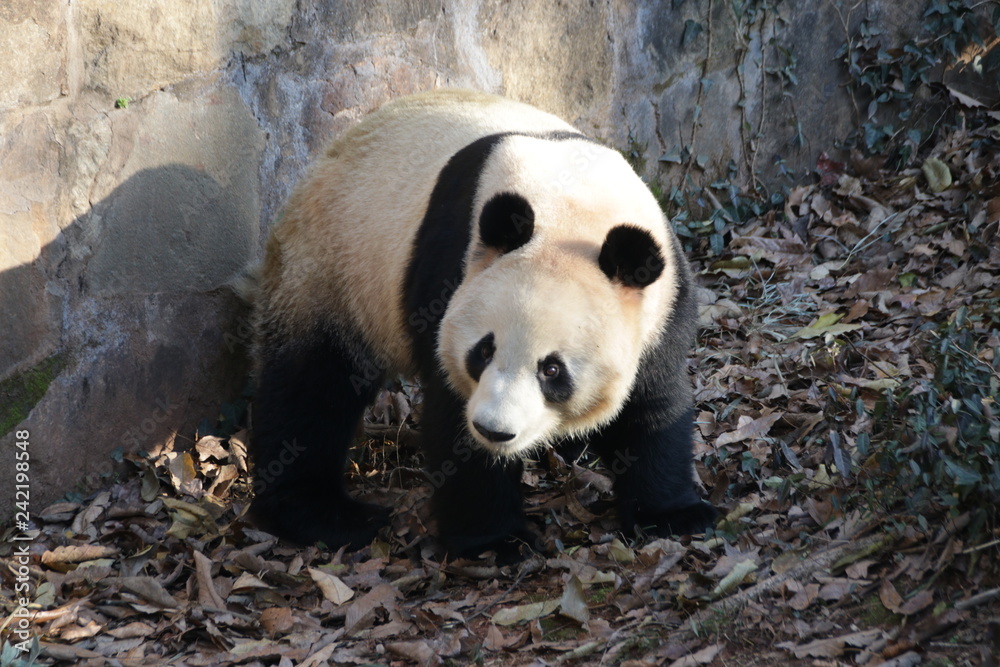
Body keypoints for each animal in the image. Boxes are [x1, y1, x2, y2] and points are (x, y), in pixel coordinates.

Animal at [248, 89, 717, 559]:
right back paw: (325, 515)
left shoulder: (662, 305)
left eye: (552, 369)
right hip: (332, 269)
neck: (573, 211)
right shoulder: (449, 275)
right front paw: (497, 540)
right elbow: (453, 416)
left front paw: (672, 513)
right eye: (484, 350)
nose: (494, 429)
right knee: (310, 390)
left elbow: (652, 405)